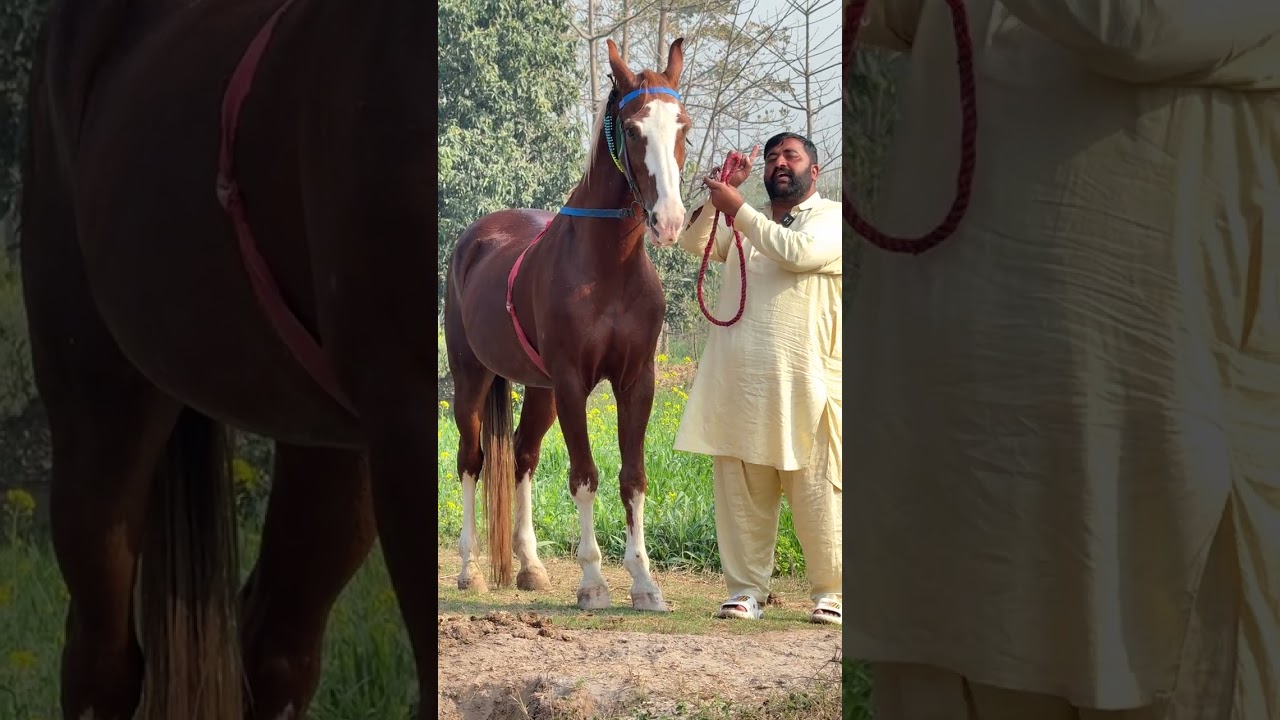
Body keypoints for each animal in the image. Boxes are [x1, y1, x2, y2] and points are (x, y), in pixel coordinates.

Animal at [443, 38, 690, 613]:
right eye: (635, 129)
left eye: (683, 126)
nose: (668, 221)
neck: (609, 267)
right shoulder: (575, 382)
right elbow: (585, 477)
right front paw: (594, 582)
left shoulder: (636, 381)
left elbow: (633, 478)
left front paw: (644, 583)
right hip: (471, 379)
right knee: (472, 459)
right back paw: (470, 570)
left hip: (541, 391)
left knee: (522, 456)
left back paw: (529, 566)